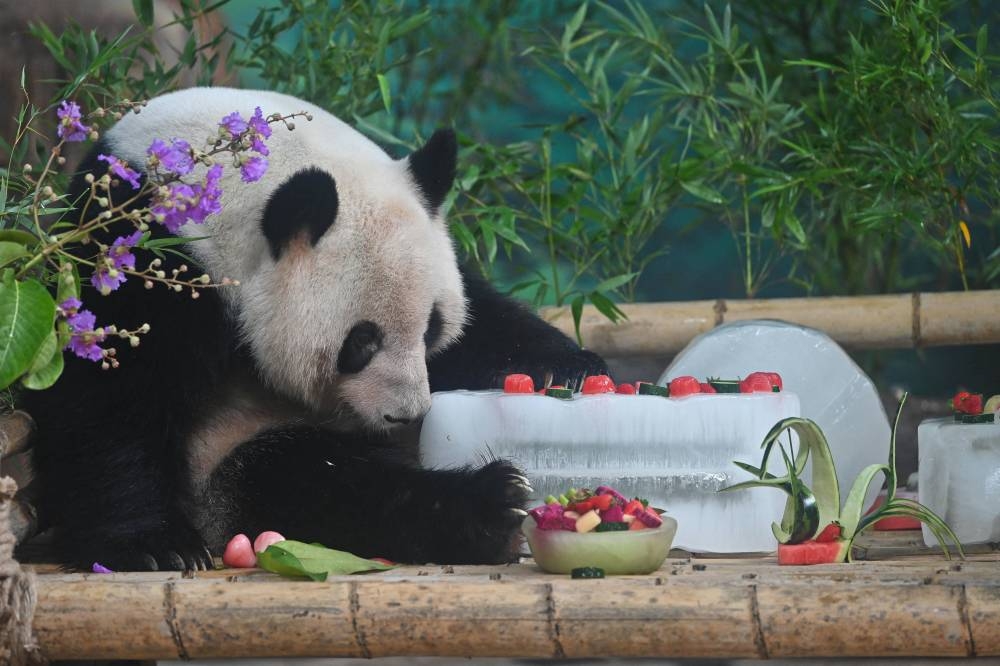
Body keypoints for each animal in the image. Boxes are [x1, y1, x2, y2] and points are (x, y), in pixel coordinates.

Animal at [19, 85, 604, 568]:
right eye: (361, 342)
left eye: (432, 328)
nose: (408, 415)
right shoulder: (141, 248)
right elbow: (107, 395)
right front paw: (155, 545)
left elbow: (486, 320)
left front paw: (566, 369)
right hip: (226, 461)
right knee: (306, 480)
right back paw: (489, 507)